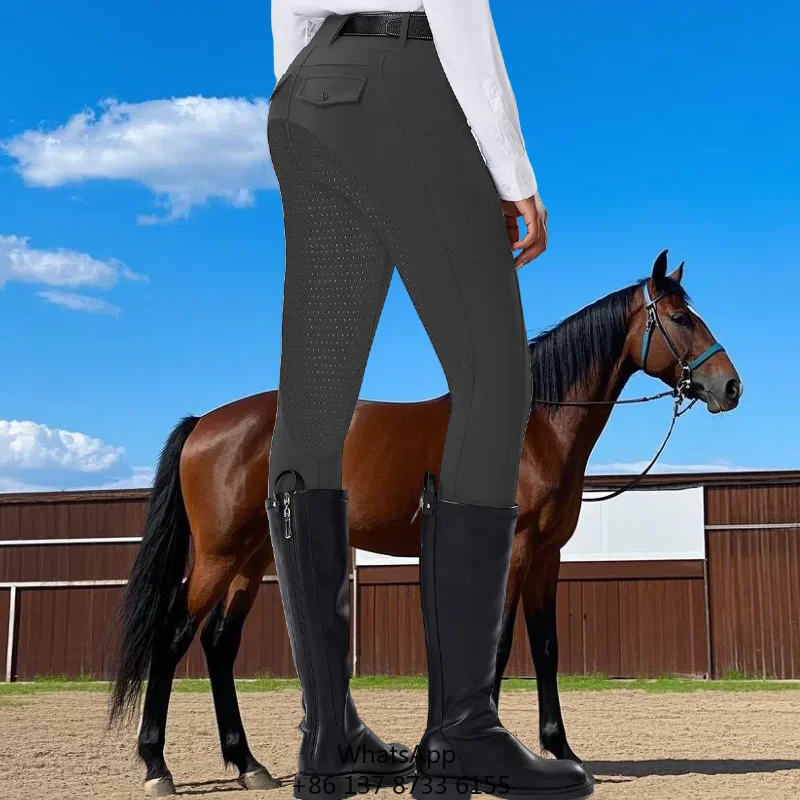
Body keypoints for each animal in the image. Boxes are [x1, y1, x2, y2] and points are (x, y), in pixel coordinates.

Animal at [108, 250, 741, 795]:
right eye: (681, 318)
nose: (730, 386)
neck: (533, 429)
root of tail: (205, 423)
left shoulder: (546, 556)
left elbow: (545, 647)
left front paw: (561, 751)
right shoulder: (514, 551)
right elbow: (499, 644)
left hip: (255, 556)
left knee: (219, 643)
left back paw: (248, 765)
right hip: (218, 556)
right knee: (172, 638)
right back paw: (157, 766)